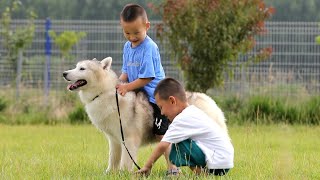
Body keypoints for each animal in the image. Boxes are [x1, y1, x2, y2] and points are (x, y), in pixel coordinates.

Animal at [62, 57, 228, 172]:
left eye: (82, 68)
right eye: (76, 66)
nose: (64, 73)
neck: (104, 92)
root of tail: (210, 101)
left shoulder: (129, 139)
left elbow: (125, 162)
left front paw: (123, 174)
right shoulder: (114, 140)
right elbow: (113, 159)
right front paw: (109, 173)